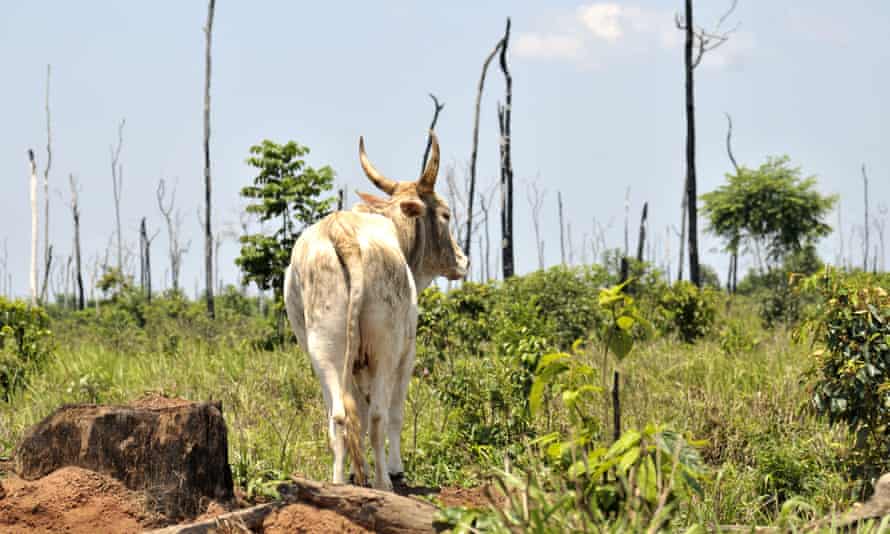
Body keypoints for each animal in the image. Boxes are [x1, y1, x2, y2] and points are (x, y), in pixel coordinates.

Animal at [283, 132, 468, 490]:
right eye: (446, 215)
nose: (462, 260)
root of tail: (341, 231)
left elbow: (360, 413)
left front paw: (361, 473)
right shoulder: (406, 352)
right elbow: (392, 414)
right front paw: (395, 469)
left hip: (324, 348)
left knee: (339, 415)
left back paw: (340, 483)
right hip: (385, 347)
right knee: (380, 415)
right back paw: (385, 483)